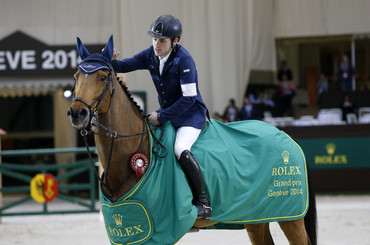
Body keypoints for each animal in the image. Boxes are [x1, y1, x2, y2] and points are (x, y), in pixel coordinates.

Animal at [68, 36, 316, 245]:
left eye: (102, 77)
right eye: (76, 77)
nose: (77, 113)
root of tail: (288, 138)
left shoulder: (159, 232)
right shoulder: (129, 233)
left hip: (290, 216)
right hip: (256, 217)